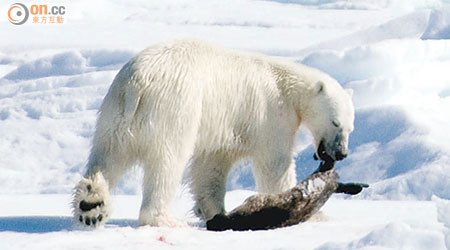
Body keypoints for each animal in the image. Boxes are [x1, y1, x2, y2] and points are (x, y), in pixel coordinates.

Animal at [73, 38, 356, 227]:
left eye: (350, 127)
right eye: (335, 123)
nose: (341, 153)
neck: (288, 84)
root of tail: (138, 84)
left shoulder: (225, 128)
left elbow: (211, 166)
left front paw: (212, 210)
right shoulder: (271, 114)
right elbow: (275, 165)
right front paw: (312, 210)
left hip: (115, 114)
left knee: (107, 156)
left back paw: (91, 205)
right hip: (173, 108)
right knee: (167, 162)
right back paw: (164, 219)